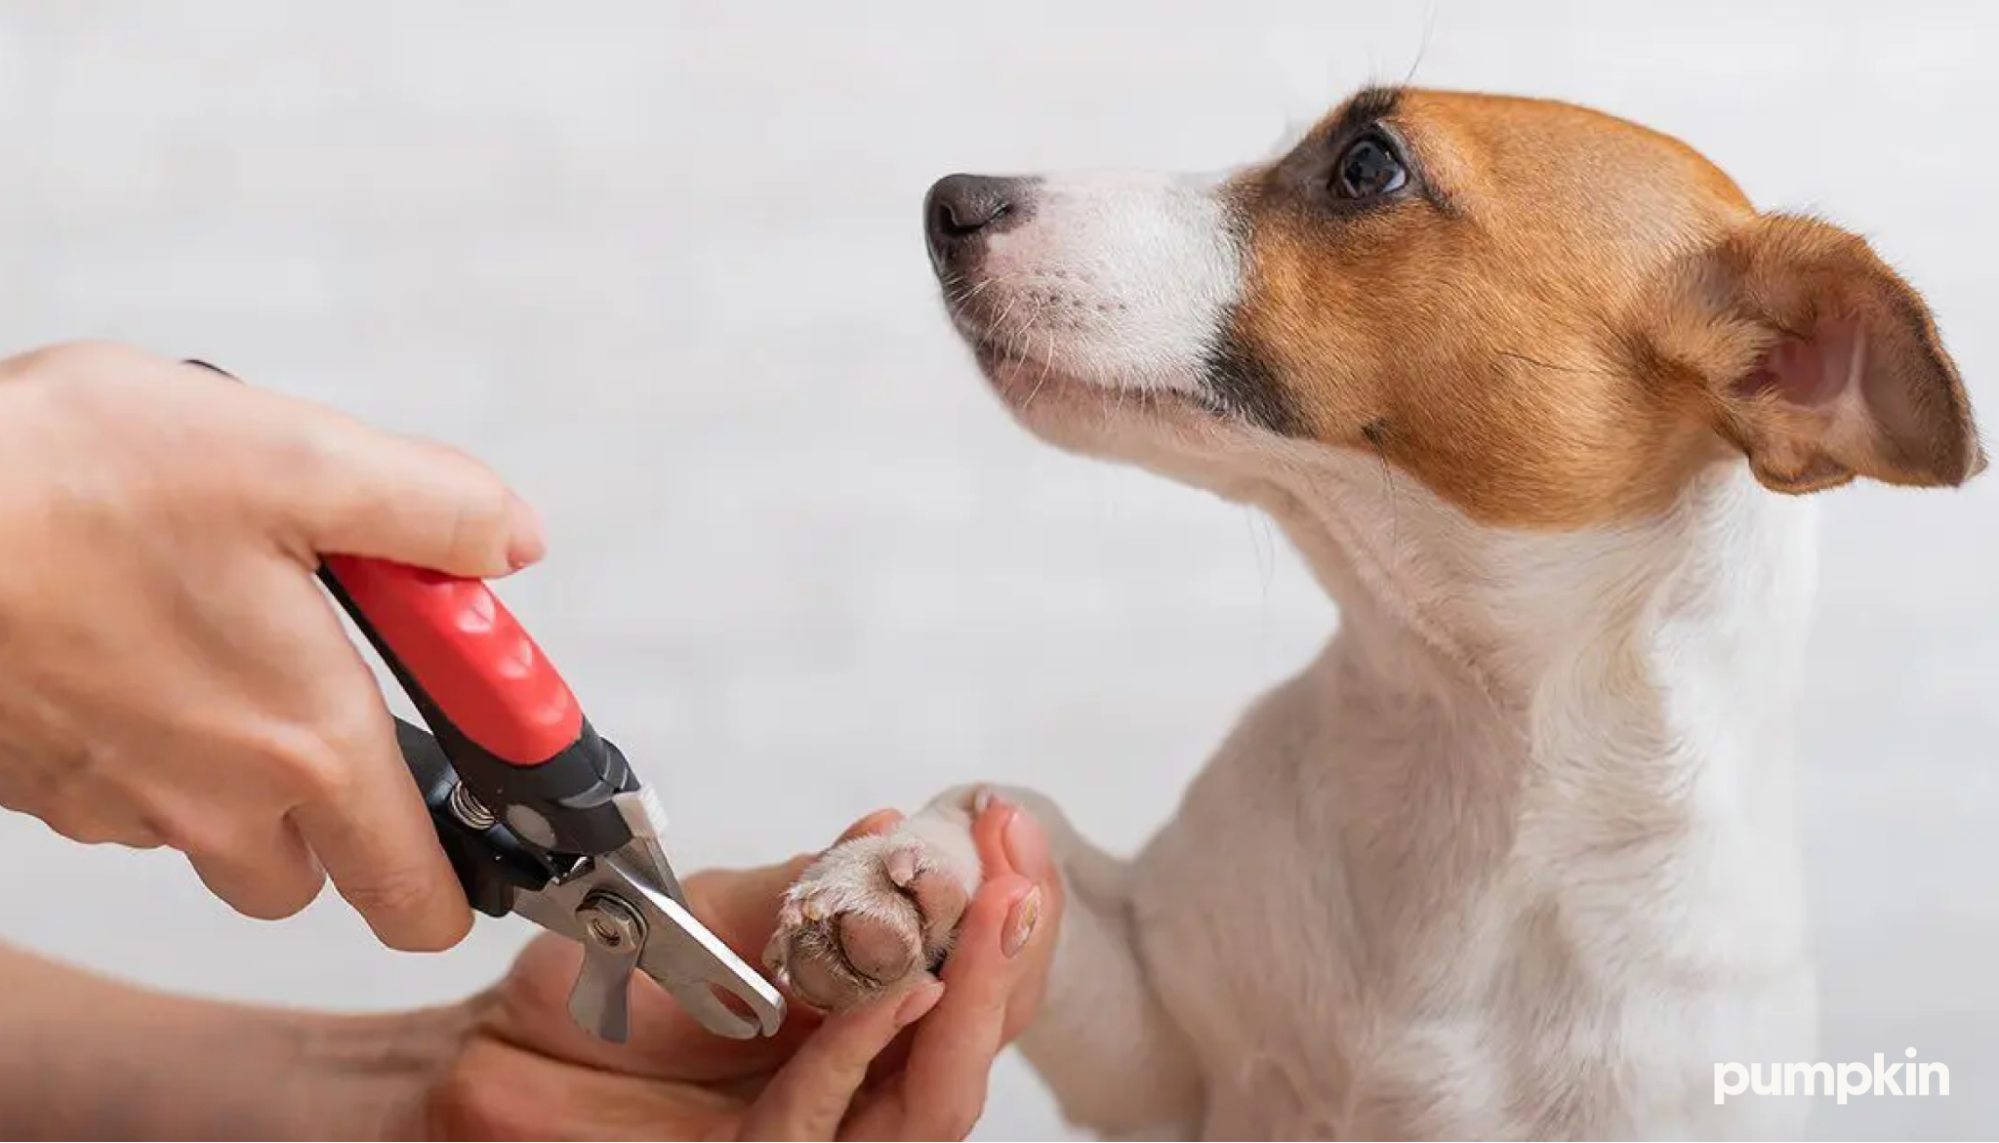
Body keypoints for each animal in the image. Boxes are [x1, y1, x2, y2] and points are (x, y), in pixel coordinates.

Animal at [755, 84, 1975, 1135]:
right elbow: (1014, 815)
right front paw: (907, 870)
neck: (1463, 737)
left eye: (1367, 166)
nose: (950, 200)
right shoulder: (1156, 1053)